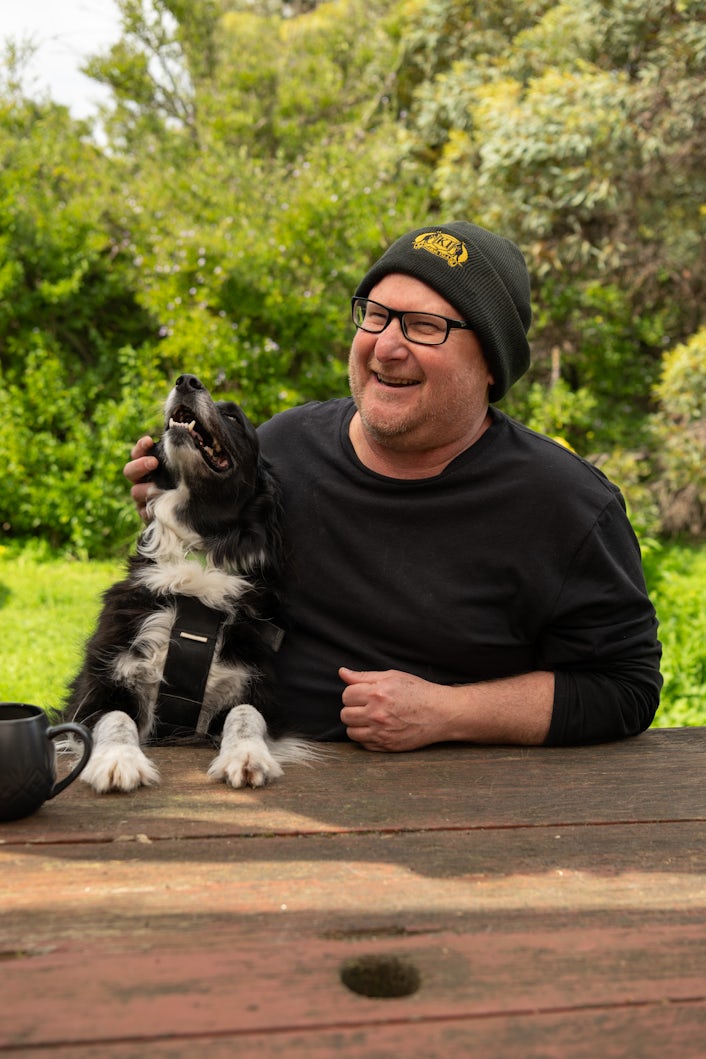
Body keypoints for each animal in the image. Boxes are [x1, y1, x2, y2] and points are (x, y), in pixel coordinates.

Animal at [64, 377, 315, 792]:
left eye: (234, 416)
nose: (186, 380)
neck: (198, 551)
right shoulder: (97, 685)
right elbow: (115, 718)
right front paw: (118, 761)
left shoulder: (256, 688)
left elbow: (246, 714)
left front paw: (247, 756)